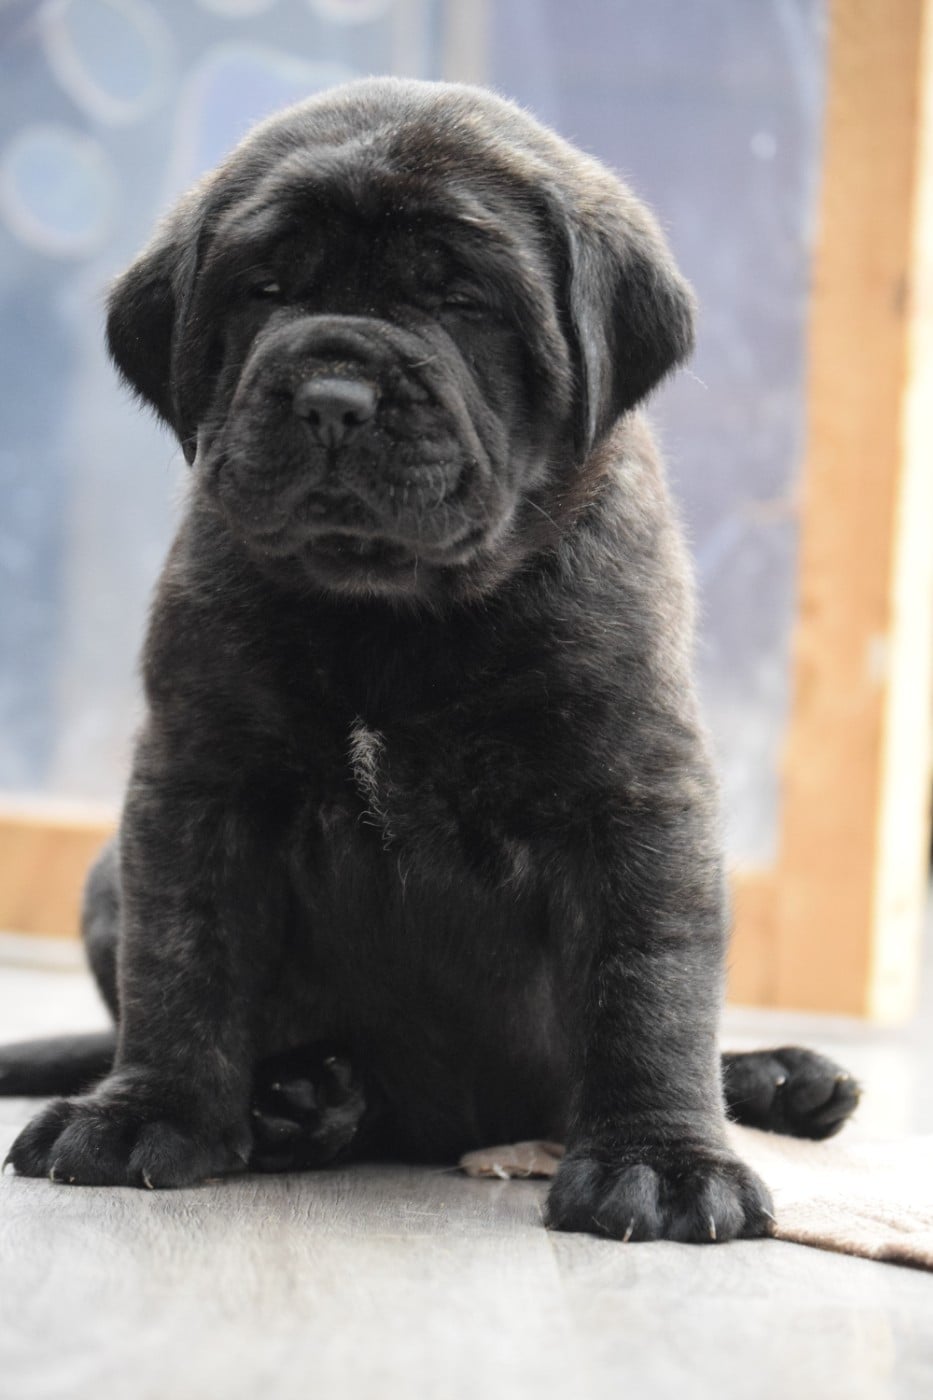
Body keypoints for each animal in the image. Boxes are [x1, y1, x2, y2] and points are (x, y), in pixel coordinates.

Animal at [0, 79, 858, 1239]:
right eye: (266, 288)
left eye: (462, 300)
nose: (333, 395)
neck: (394, 615)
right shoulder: (200, 779)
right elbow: (182, 958)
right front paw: (149, 1112)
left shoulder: (633, 792)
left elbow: (650, 984)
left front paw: (663, 1158)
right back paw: (307, 1101)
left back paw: (775, 1076)